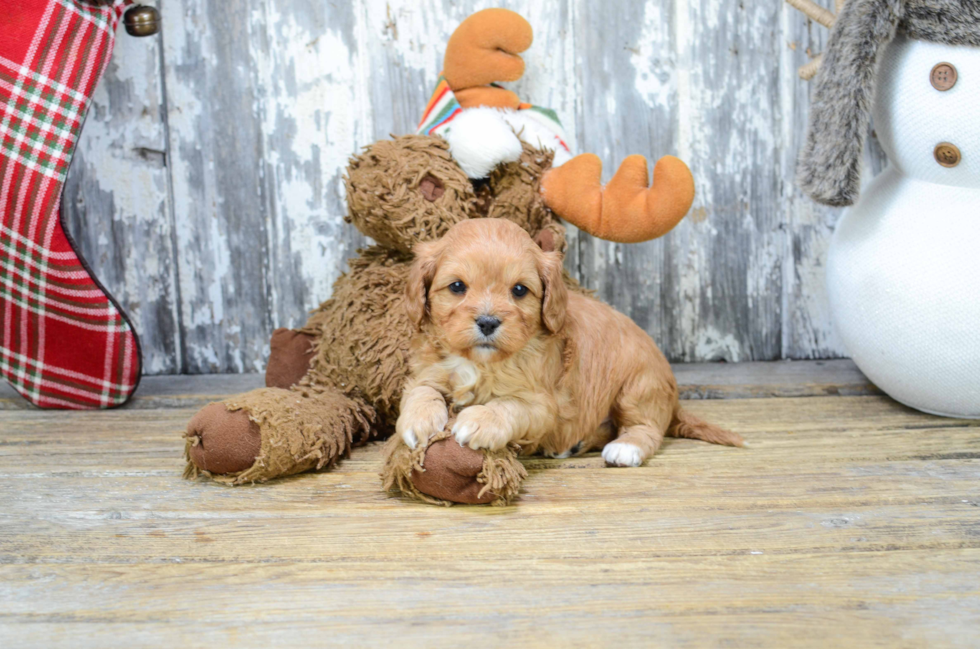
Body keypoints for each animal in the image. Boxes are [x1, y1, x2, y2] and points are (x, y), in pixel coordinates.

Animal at [394, 219, 740, 466]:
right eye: (456, 287)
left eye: (519, 290)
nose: (488, 322)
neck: (481, 362)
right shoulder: (428, 370)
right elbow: (421, 390)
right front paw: (419, 420)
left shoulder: (541, 403)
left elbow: (508, 405)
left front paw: (480, 420)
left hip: (638, 387)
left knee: (647, 427)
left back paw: (625, 448)